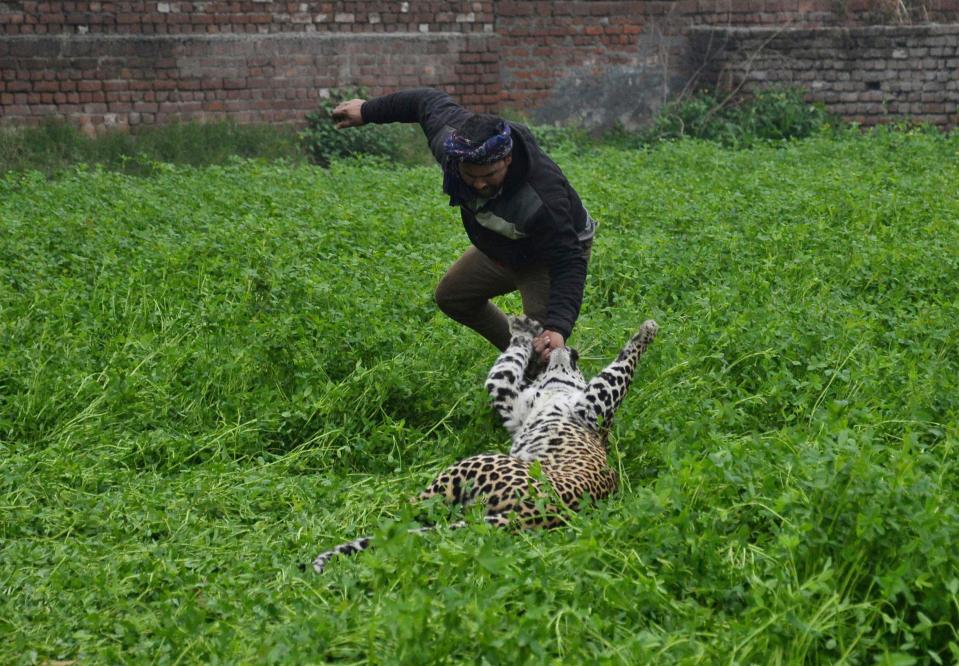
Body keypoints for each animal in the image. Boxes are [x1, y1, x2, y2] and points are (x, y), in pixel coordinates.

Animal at [312, 316, 656, 572]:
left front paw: (648, 330)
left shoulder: (594, 407)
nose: (570, 350)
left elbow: (620, 370)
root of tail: (528, 516)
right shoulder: (511, 402)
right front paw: (525, 331)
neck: (554, 388)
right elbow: (507, 365)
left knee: (410, 510)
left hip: (472, 465)